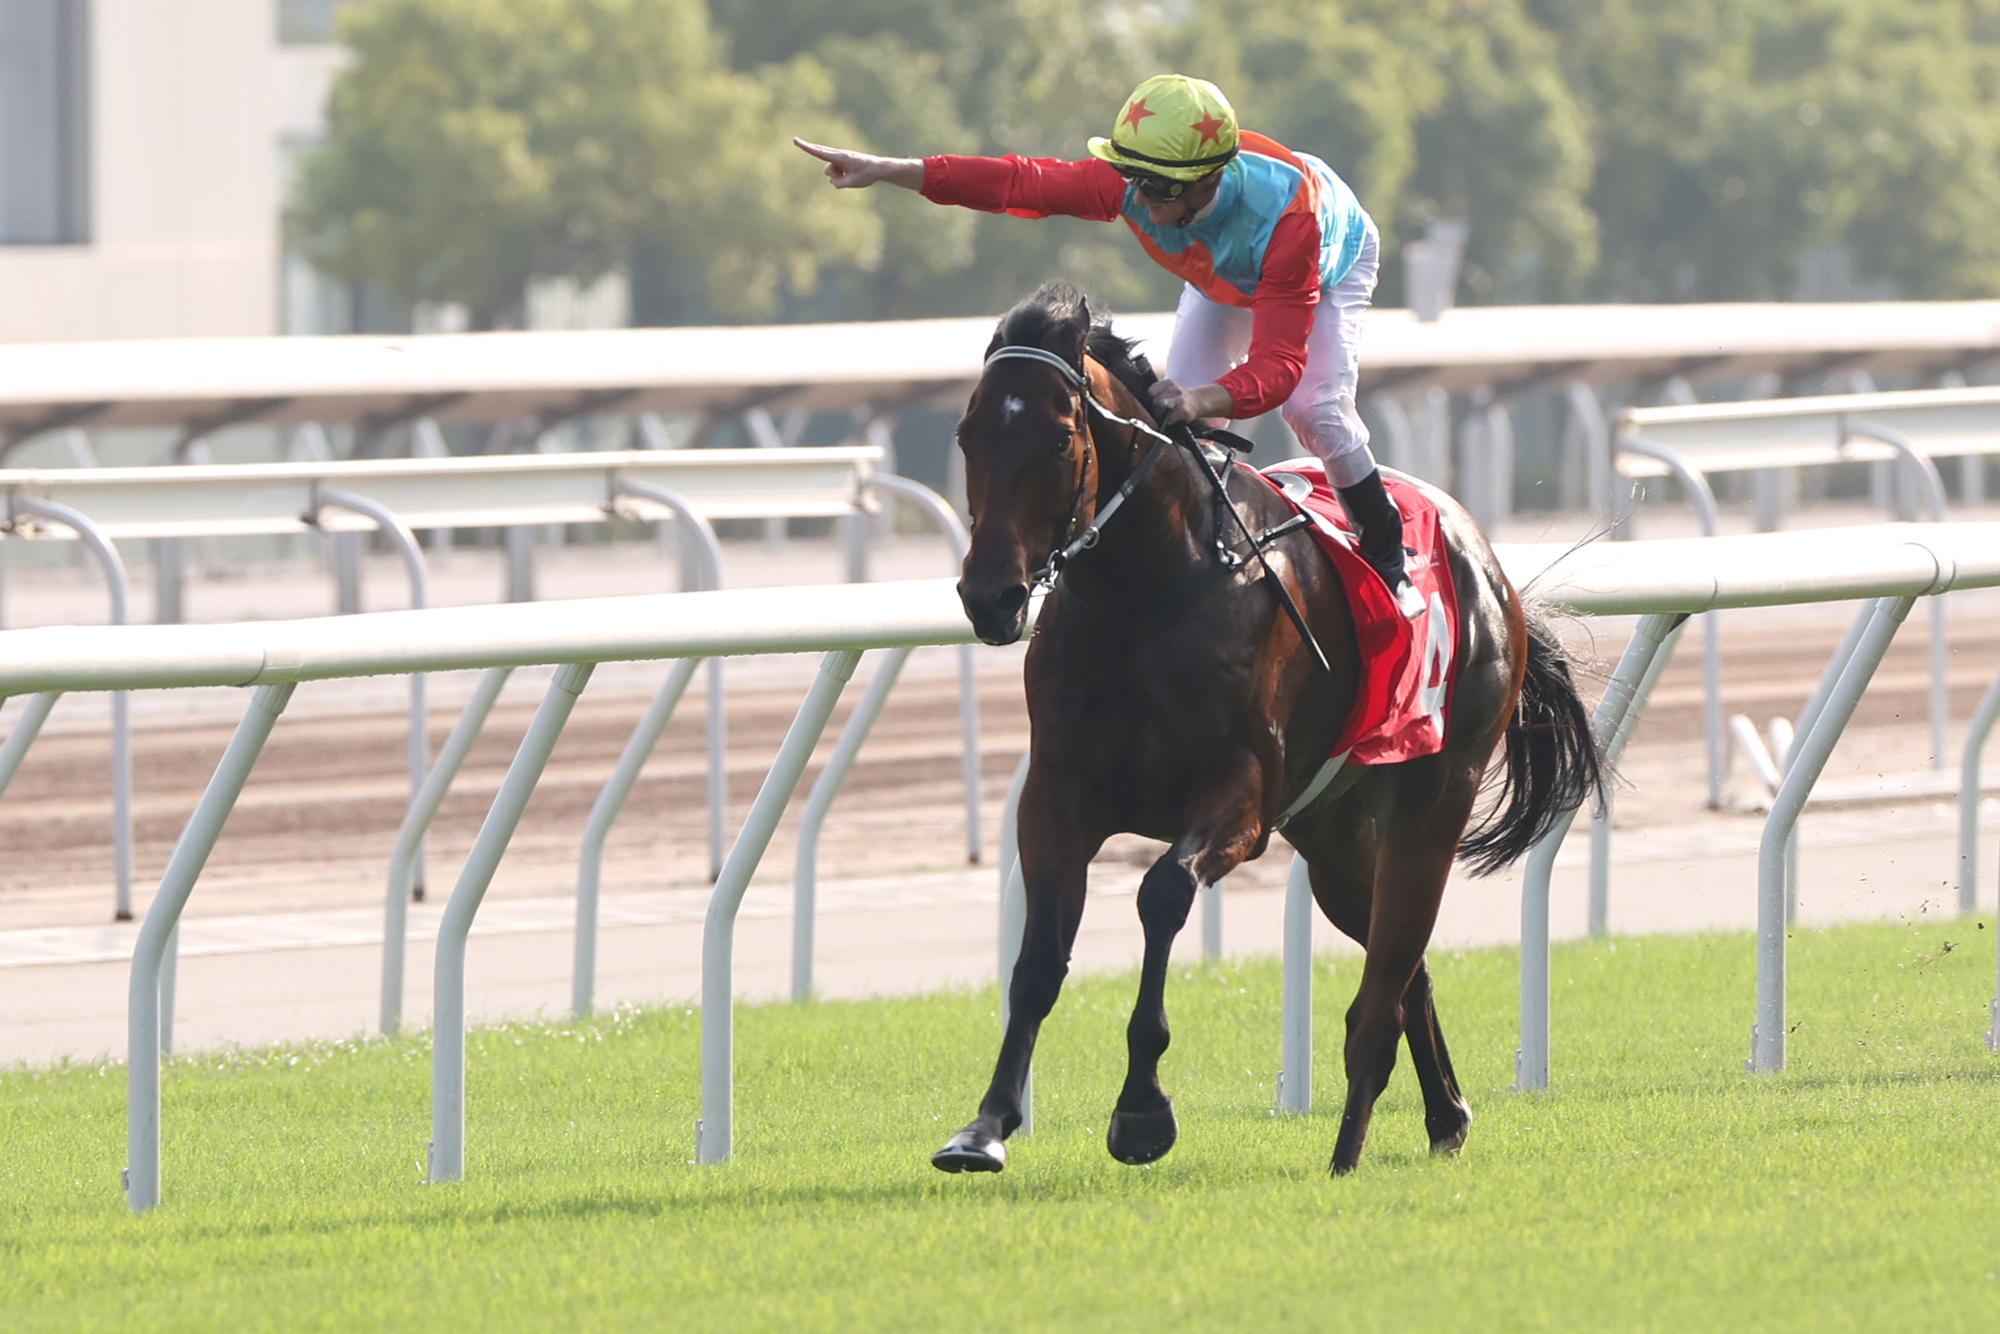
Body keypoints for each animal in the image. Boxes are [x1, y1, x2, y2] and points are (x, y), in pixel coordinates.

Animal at [936, 282, 1608, 1176]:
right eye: (968, 433)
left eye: (1056, 439)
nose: (991, 596)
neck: (1146, 592)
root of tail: (1490, 567)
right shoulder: (1056, 793)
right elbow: (1040, 958)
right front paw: (985, 1126)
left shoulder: (1242, 795)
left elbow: (1162, 893)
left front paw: (1141, 1110)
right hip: (1333, 835)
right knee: (1405, 966)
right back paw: (1446, 1113)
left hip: (1434, 800)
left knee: (1384, 984)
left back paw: (1349, 1151)